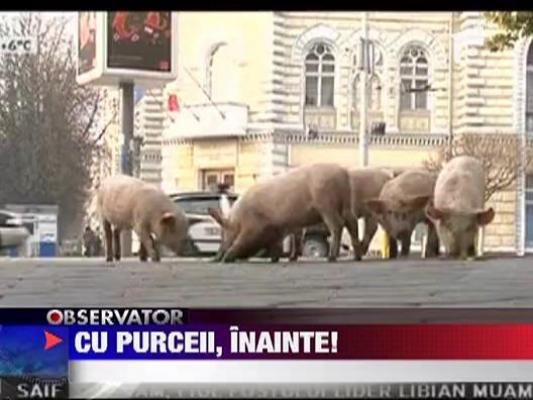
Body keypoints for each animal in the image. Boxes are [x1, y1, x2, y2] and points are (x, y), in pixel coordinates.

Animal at [207, 162, 358, 262]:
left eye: (226, 230)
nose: (215, 258)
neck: (238, 219)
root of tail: (343, 173)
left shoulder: (253, 226)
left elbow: (243, 240)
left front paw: (226, 258)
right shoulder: (279, 228)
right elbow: (284, 241)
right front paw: (276, 258)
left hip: (327, 204)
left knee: (337, 225)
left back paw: (332, 257)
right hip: (346, 202)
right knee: (352, 222)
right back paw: (357, 256)